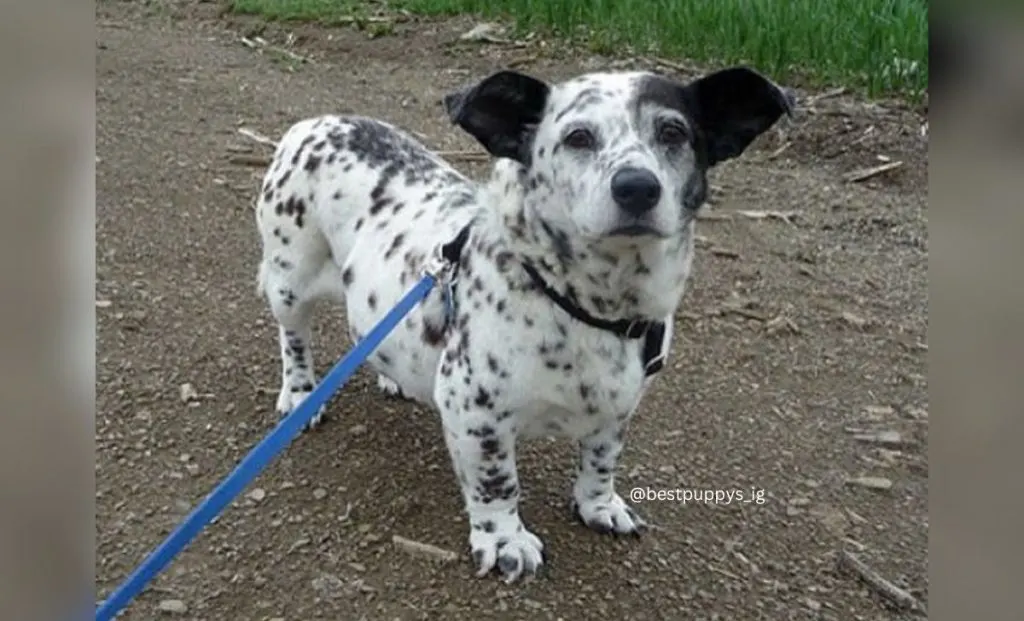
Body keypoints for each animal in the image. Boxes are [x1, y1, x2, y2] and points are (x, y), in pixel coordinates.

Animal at [253, 65, 790, 582]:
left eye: (673, 131)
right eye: (578, 137)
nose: (637, 186)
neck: (587, 307)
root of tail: (314, 122)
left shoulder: (619, 406)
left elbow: (602, 459)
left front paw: (598, 506)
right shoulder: (475, 413)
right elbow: (497, 482)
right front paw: (504, 540)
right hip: (290, 280)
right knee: (293, 337)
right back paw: (300, 393)